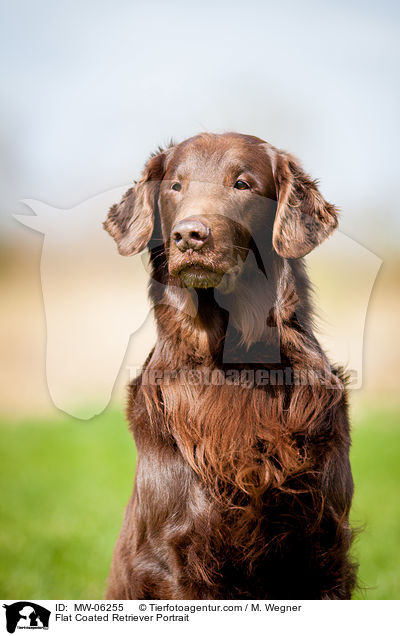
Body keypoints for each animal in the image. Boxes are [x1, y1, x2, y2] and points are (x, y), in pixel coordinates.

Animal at [104, 132, 356, 600]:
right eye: (175, 187)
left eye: (242, 184)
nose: (189, 235)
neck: (233, 363)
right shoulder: (178, 555)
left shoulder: (323, 547)